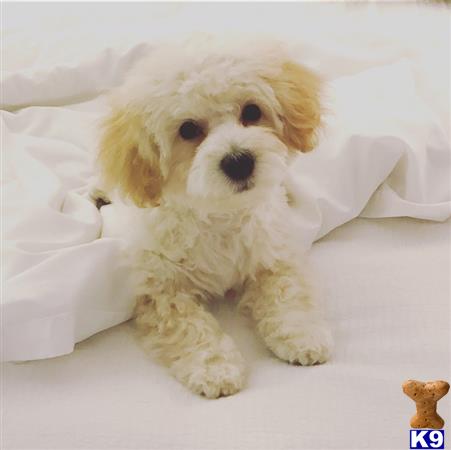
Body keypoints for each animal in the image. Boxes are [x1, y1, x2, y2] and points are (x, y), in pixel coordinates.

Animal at [98, 38, 332, 398]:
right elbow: (189, 327)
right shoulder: (161, 289)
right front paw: (215, 368)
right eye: (188, 129)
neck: (220, 214)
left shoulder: (273, 255)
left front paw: (302, 333)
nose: (239, 161)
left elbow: (288, 291)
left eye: (252, 111)